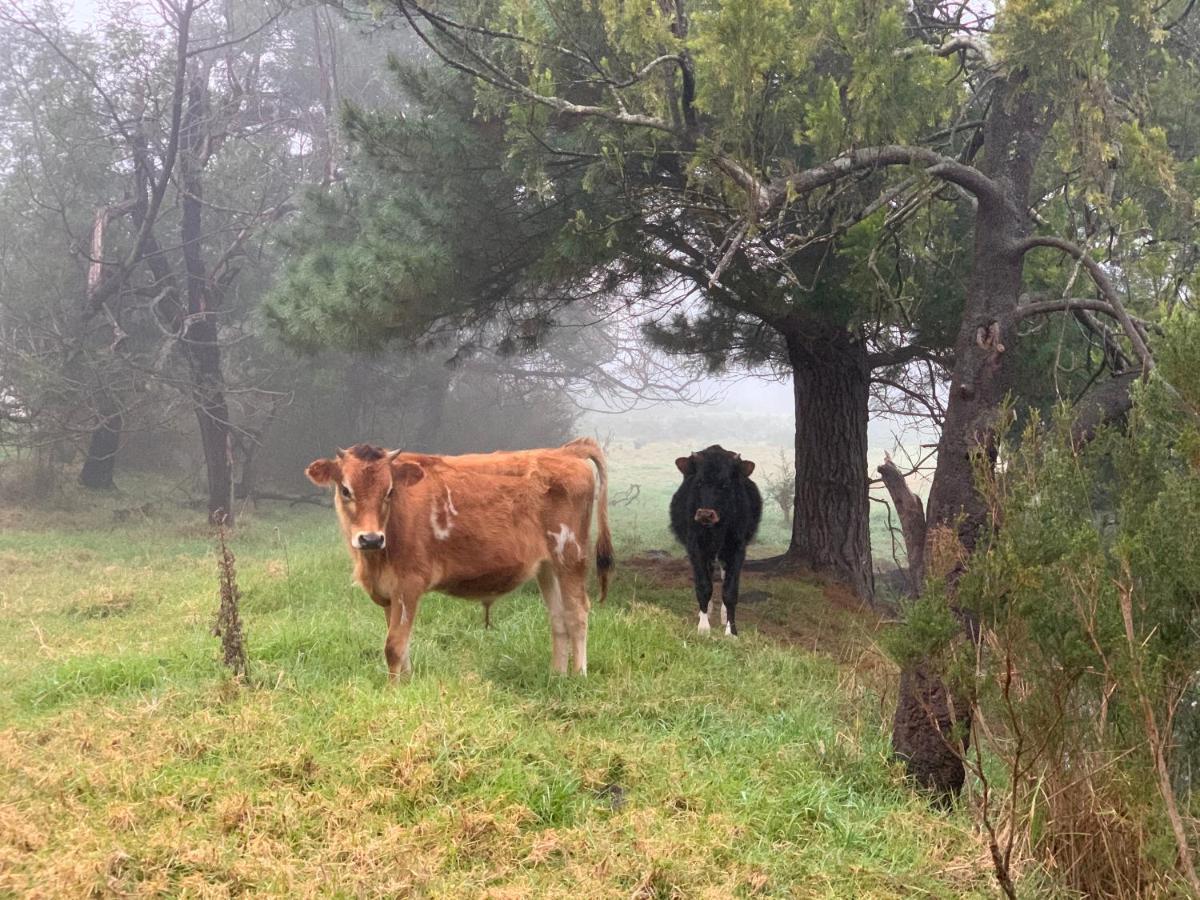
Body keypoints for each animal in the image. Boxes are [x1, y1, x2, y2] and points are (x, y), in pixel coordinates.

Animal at [304, 441, 614, 681]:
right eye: (345, 490)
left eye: (389, 491)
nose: (370, 539)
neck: (375, 559)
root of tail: (565, 451)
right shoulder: (389, 593)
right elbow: (401, 644)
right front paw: (406, 684)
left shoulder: (408, 585)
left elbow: (393, 646)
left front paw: (394, 691)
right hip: (548, 567)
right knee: (558, 617)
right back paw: (556, 675)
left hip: (570, 556)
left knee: (577, 613)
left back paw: (579, 676)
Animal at [672, 448, 763, 638]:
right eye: (699, 483)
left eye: (725, 485)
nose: (706, 514)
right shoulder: (696, 547)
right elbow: (703, 586)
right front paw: (703, 627)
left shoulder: (737, 549)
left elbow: (729, 591)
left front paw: (731, 631)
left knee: (721, 575)